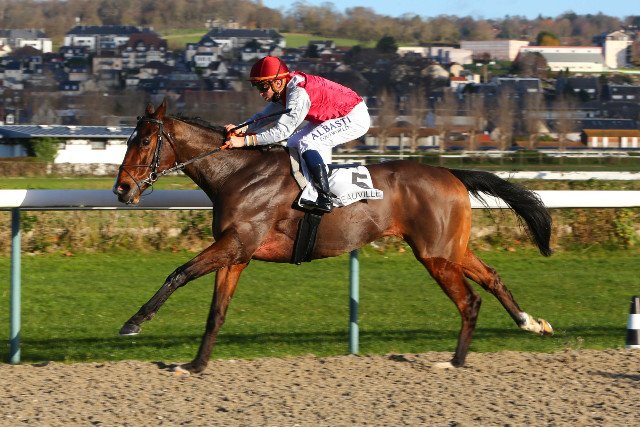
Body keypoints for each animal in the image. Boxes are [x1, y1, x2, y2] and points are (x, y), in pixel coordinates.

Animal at [113, 99, 554, 374]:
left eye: (145, 140)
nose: (121, 189)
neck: (238, 174)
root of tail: (449, 172)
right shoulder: (236, 254)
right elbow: (216, 312)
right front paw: (195, 365)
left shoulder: (235, 244)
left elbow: (179, 273)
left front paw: (133, 323)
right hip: (449, 248)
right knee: (491, 278)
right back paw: (529, 323)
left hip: (434, 254)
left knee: (469, 300)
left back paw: (455, 361)